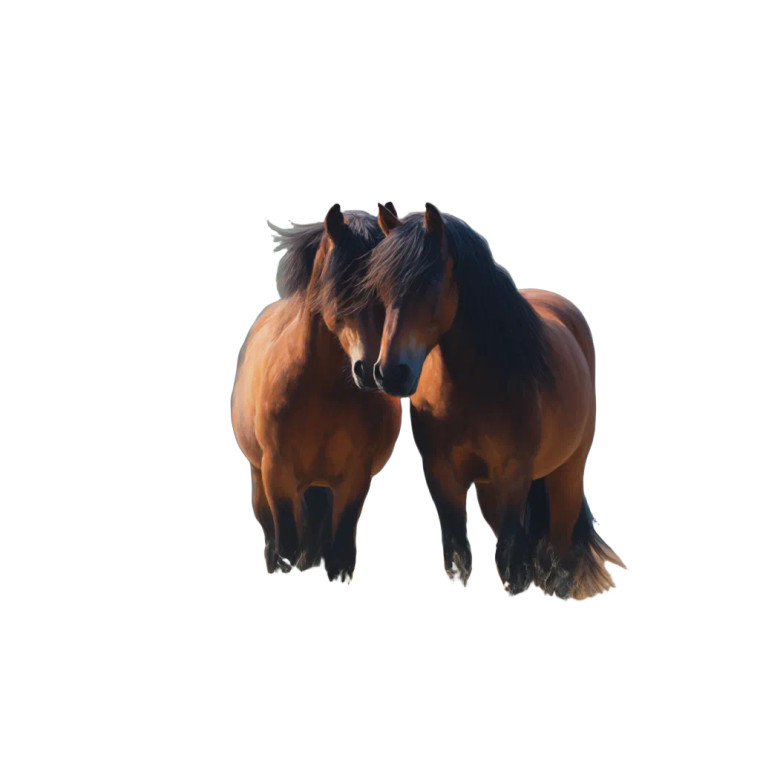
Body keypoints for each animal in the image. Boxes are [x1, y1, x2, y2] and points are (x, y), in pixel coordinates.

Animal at [231, 204, 401, 581]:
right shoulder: (277, 475)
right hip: (263, 482)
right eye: (341, 285)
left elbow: (340, 555)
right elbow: (286, 545)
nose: (370, 370)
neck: (322, 393)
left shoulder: (353, 481)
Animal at [360, 202, 624, 599]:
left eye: (431, 281)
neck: (471, 389)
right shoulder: (443, 477)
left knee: (561, 553)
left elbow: (510, 560)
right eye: (379, 286)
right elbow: (459, 556)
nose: (391, 372)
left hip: (567, 474)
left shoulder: (512, 476)